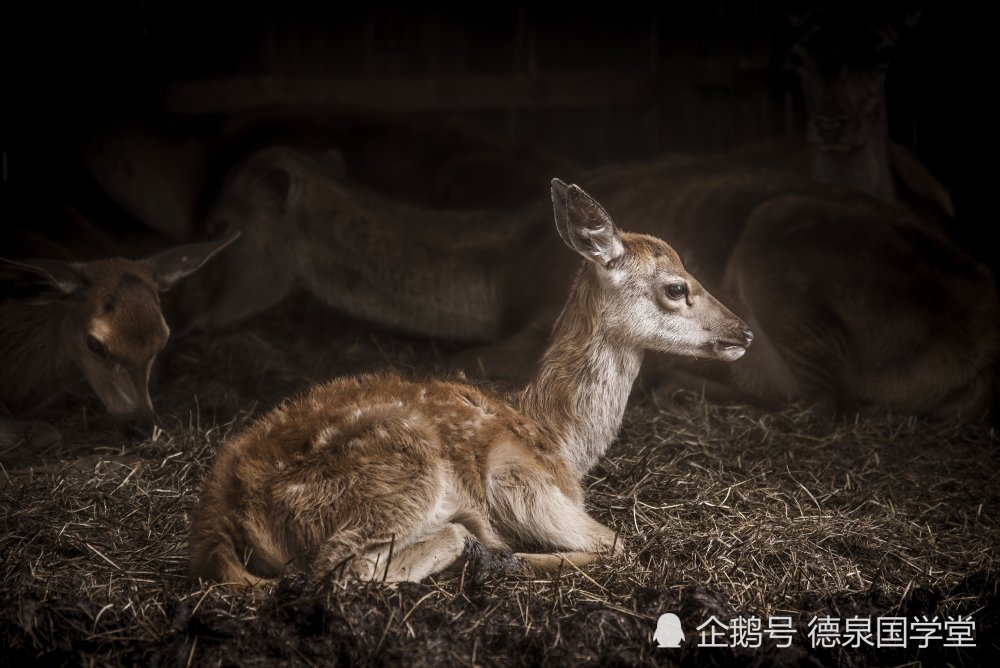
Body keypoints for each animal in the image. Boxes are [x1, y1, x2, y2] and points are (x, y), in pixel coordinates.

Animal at [186, 177, 752, 584]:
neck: (558, 439)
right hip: (401, 478)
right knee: (344, 568)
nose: (743, 331)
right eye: (676, 287)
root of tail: (219, 514)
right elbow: (618, 544)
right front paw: (506, 556)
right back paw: (477, 549)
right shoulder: (520, 479)